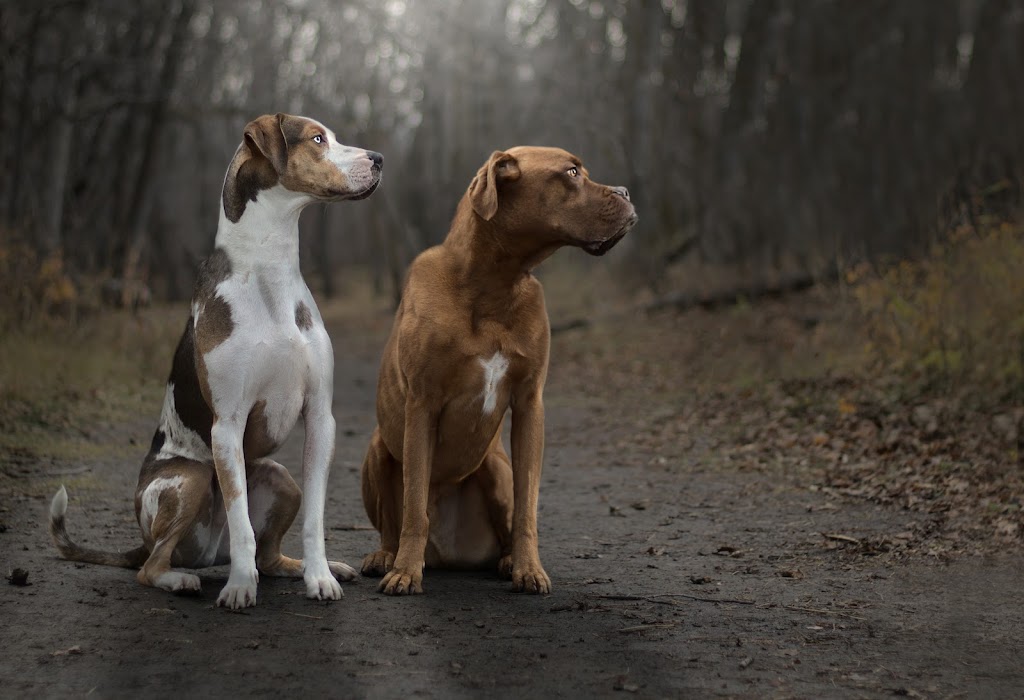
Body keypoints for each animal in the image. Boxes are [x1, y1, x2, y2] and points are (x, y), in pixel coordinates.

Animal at [360, 147, 630, 597]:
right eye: (571, 173)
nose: (626, 190)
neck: (495, 284)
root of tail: (446, 554)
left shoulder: (529, 405)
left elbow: (527, 508)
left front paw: (529, 569)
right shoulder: (422, 405)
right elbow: (414, 505)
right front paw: (405, 572)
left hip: (494, 467)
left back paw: (505, 562)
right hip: (377, 448)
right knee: (392, 524)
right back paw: (387, 556)